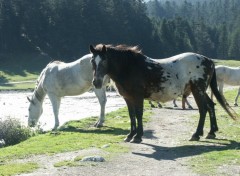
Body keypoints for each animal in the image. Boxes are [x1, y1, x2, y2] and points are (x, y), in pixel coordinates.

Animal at [88, 43, 236, 143]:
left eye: (105, 60)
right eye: (92, 61)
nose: (96, 82)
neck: (130, 67)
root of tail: (209, 60)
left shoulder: (138, 97)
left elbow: (139, 114)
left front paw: (138, 136)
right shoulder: (128, 98)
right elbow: (132, 116)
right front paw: (130, 135)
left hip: (197, 90)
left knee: (203, 109)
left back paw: (196, 134)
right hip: (201, 91)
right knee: (211, 106)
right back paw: (211, 132)